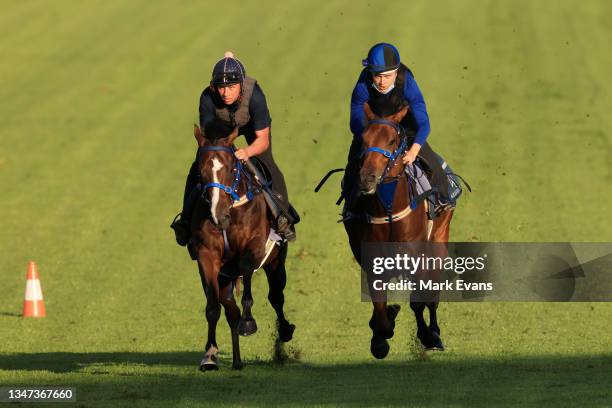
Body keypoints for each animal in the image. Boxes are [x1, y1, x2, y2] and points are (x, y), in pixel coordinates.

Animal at [191, 121, 296, 370]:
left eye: (231, 169)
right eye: (201, 171)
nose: (218, 215)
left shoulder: (254, 247)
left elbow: (249, 280)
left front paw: (248, 322)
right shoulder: (206, 255)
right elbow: (212, 307)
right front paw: (209, 355)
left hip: (276, 263)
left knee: (276, 296)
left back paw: (284, 332)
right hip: (224, 277)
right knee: (230, 309)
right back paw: (236, 360)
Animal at [344, 103, 454, 360]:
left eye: (392, 140)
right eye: (363, 139)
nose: (367, 177)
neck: (388, 209)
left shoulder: (417, 256)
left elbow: (418, 301)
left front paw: (427, 336)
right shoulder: (372, 260)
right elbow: (379, 305)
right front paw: (381, 337)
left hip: (439, 241)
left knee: (431, 294)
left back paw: (434, 333)